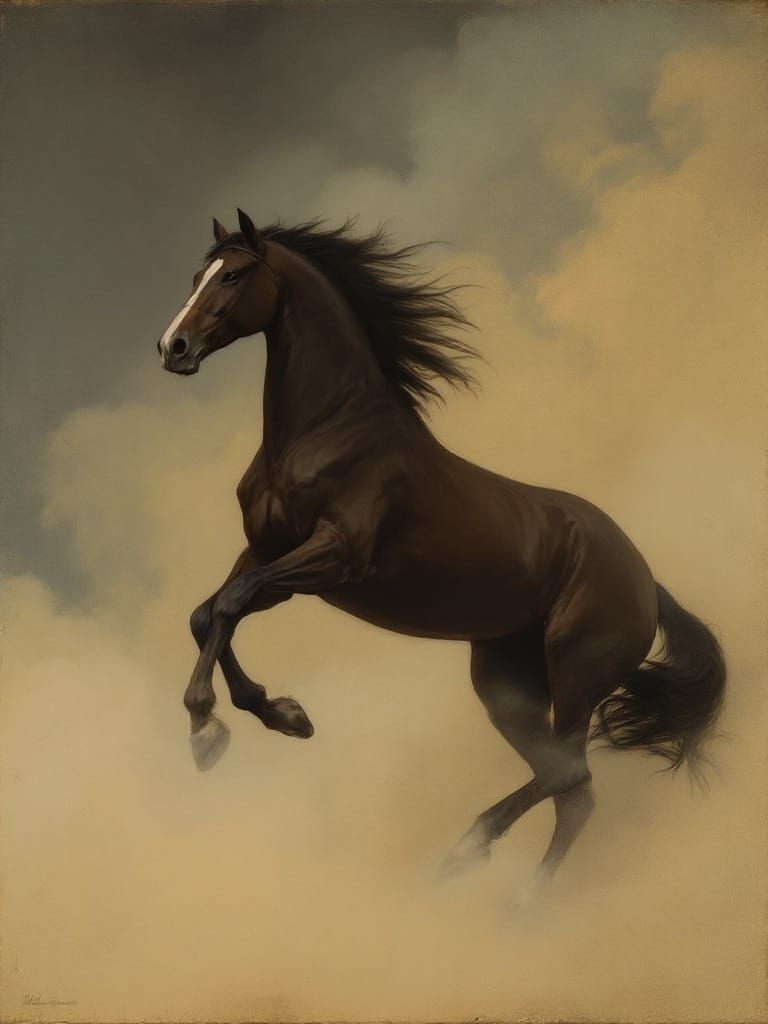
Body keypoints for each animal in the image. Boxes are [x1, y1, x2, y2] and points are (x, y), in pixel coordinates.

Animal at [156, 209, 726, 892]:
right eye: (198, 275)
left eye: (234, 275)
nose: (172, 347)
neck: (328, 431)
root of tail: (647, 581)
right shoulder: (270, 555)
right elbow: (209, 613)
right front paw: (283, 715)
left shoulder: (334, 557)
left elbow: (229, 604)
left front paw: (206, 730)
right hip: (506, 684)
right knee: (571, 790)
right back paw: (507, 894)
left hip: (576, 670)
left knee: (571, 775)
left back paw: (476, 865)